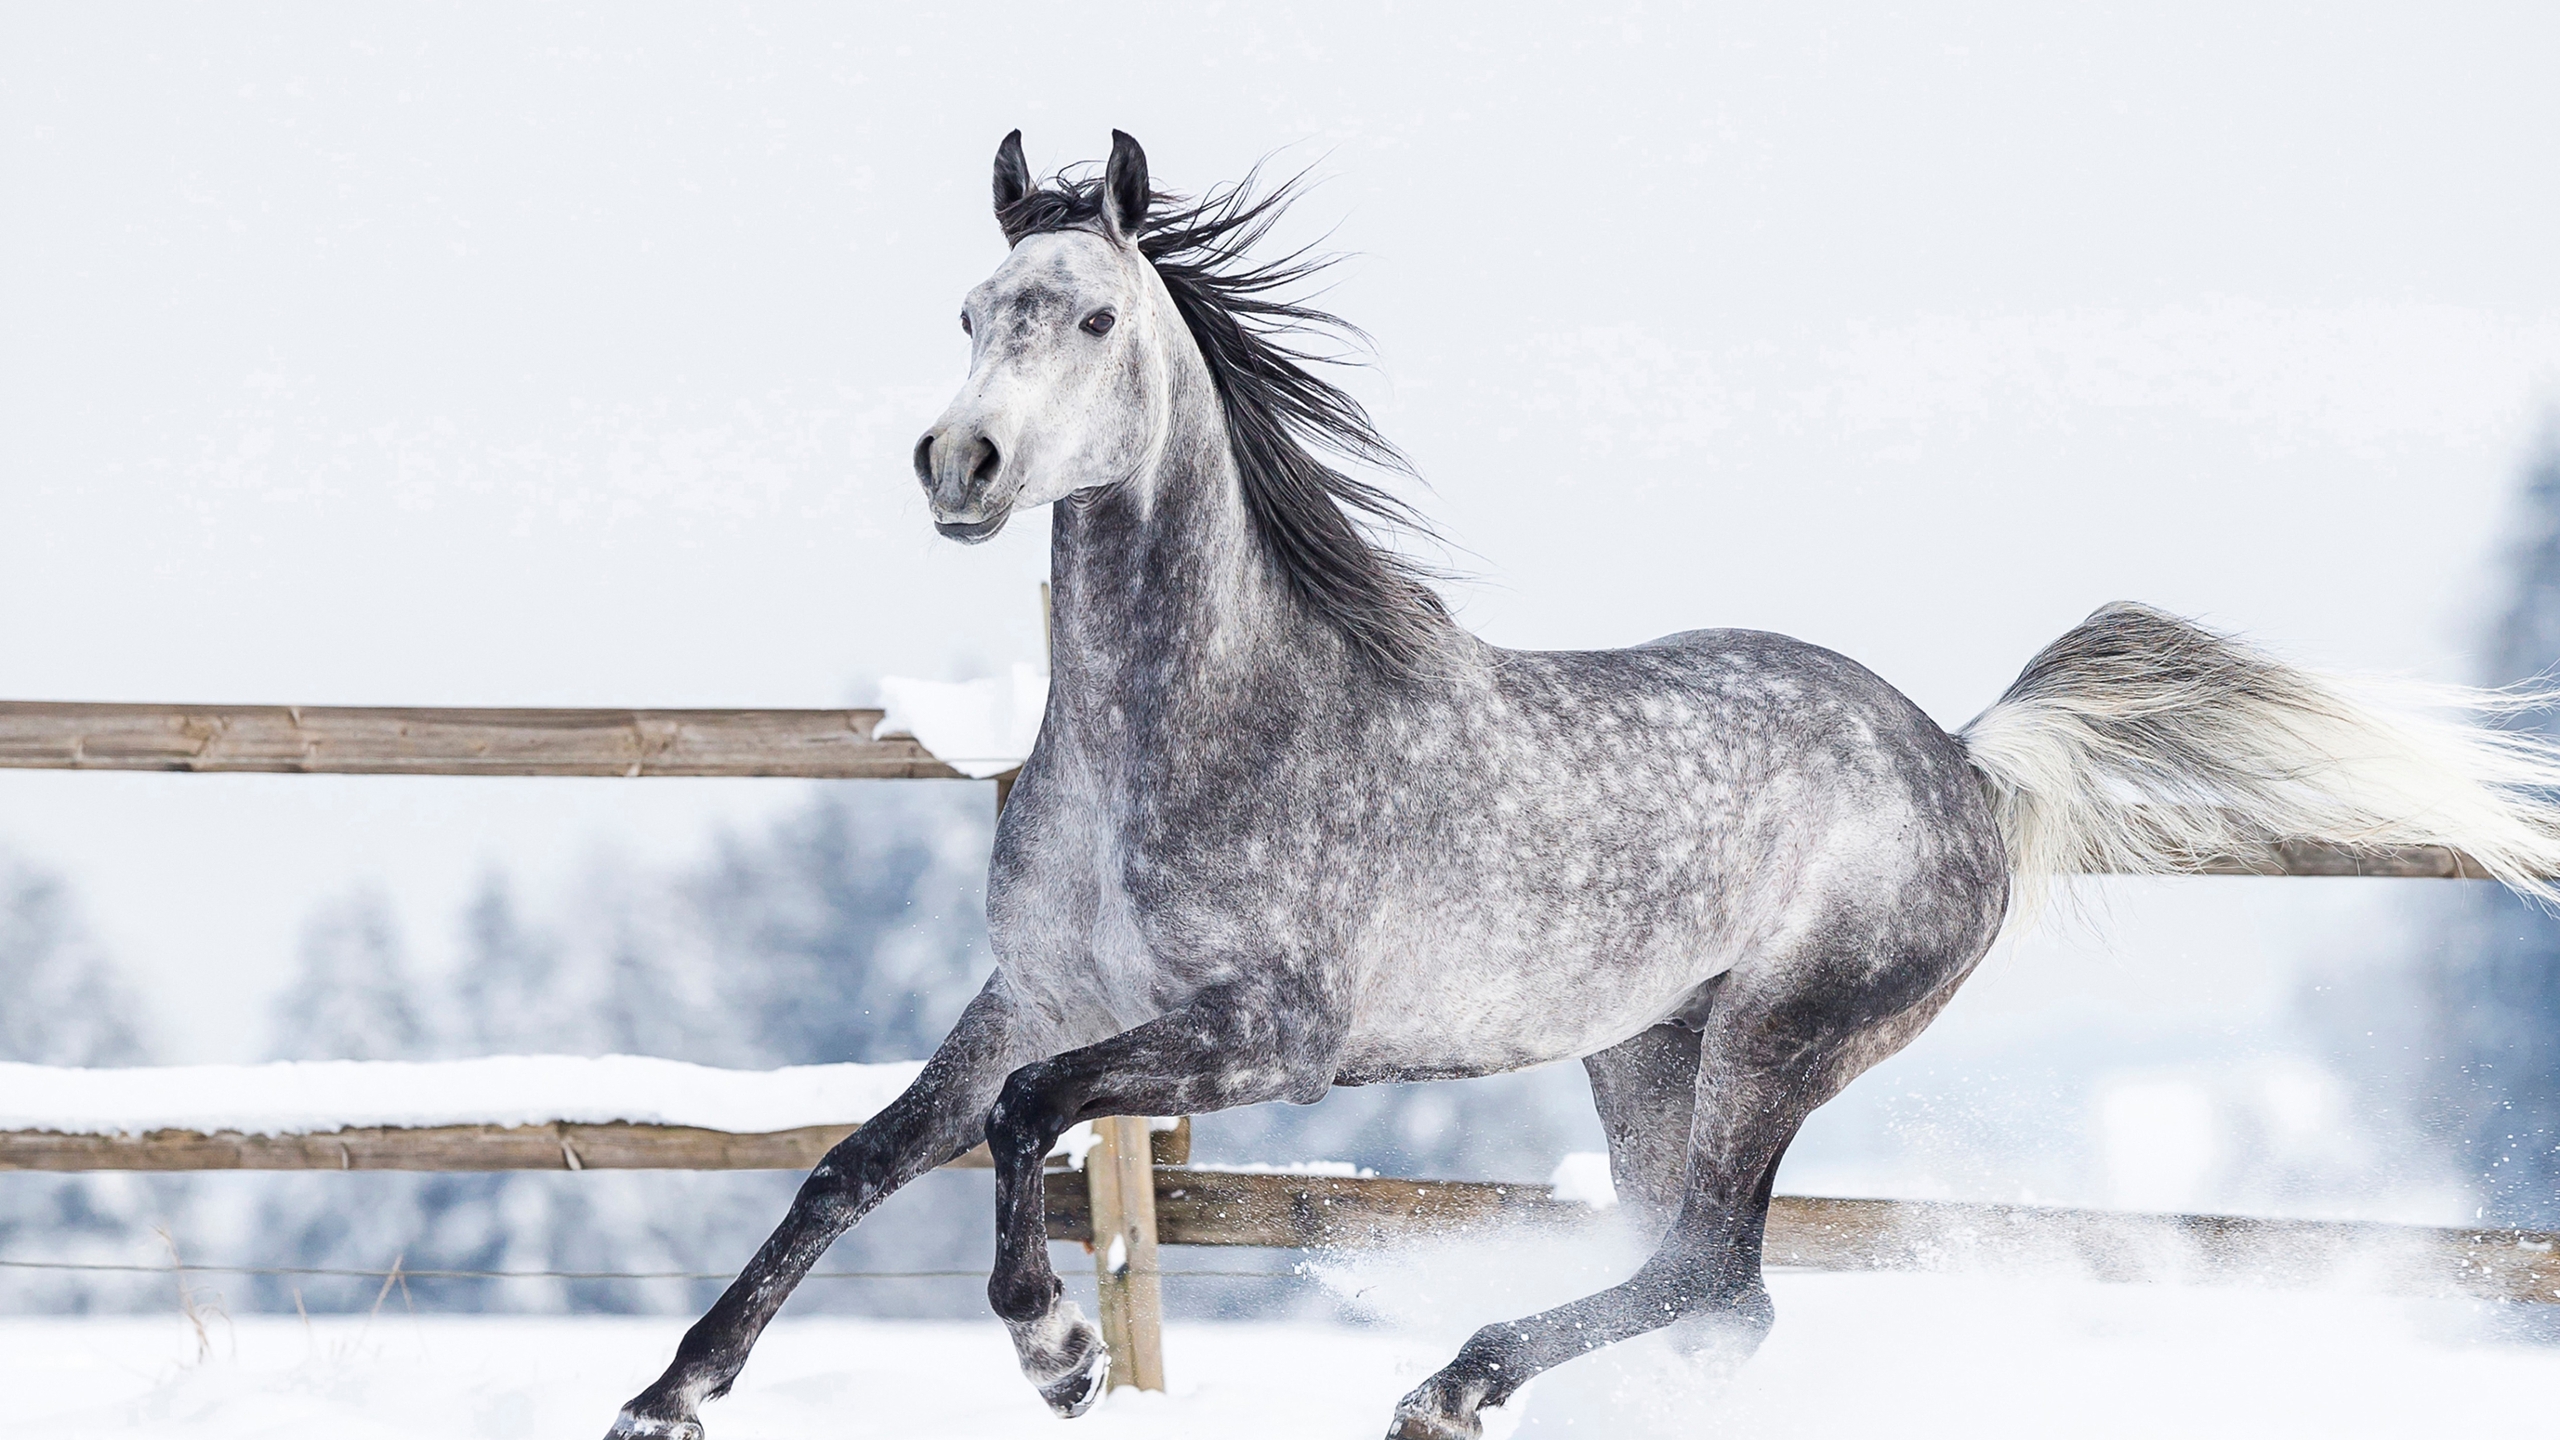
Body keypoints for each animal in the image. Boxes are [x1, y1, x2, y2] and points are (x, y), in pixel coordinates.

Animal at [604, 128, 2560, 1424]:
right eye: (968, 308)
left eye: (1088, 321)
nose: (962, 462)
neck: (1191, 725)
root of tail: (1958, 756)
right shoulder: (1031, 997)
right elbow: (851, 1166)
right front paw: (671, 1393)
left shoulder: (1269, 1041)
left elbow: (1022, 1129)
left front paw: (1058, 1349)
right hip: (1644, 1054)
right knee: (1719, 1301)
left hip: (1778, 1038)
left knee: (1716, 1271)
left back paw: (1455, 1381)